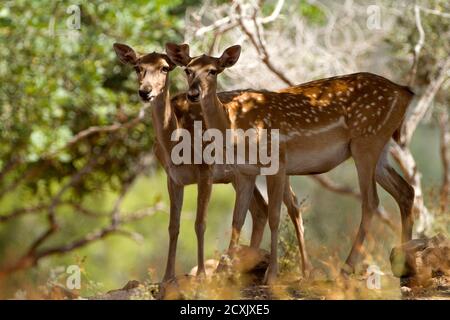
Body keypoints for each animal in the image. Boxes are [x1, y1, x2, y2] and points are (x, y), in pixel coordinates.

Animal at [112, 42, 310, 282]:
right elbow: (173, 225)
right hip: (240, 175)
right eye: (137, 67)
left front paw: (201, 275)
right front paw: (167, 277)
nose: (145, 91)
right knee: (260, 210)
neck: (176, 143)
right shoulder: (173, 178)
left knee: (292, 205)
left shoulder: (205, 170)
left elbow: (200, 222)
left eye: (164, 67)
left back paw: (302, 271)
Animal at [167, 43, 416, 284]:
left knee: (371, 200)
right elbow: (237, 221)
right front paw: (223, 274)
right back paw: (403, 264)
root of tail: (405, 92)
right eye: (188, 70)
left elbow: (275, 216)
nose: (193, 94)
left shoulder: (276, 160)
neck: (233, 126)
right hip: (380, 148)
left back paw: (346, 270)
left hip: (366, 141)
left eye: (213, 70)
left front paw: (271, 275)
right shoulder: (245, 171)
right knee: (405, 190)